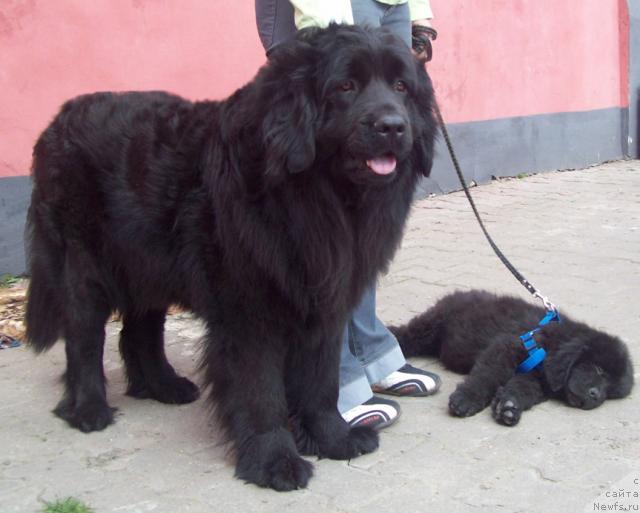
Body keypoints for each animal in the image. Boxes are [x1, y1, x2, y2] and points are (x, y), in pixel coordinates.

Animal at [23, 26, 436, 490]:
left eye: (401, 87)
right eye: (346, 86)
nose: (392, 126)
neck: (314, 197)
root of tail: (58, 119)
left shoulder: (324, 302)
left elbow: (320, 380)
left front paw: (333, 438)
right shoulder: (248, 310)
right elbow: (260, 391)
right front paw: (274, 461)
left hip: (150, 263)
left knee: (139, 332)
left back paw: (164, 387)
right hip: (83, 265)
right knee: (84, 337)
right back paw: (88, 409)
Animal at [392, 288, 632, 424]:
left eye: (610, 392)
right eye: (599, 369)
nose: (595, 396)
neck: (552, 347)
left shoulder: (534, 379)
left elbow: (522, 389)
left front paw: (509, 407)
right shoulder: (506, 349)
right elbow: (486, 376)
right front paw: (466, 399)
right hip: (432, 326)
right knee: (406, 335)